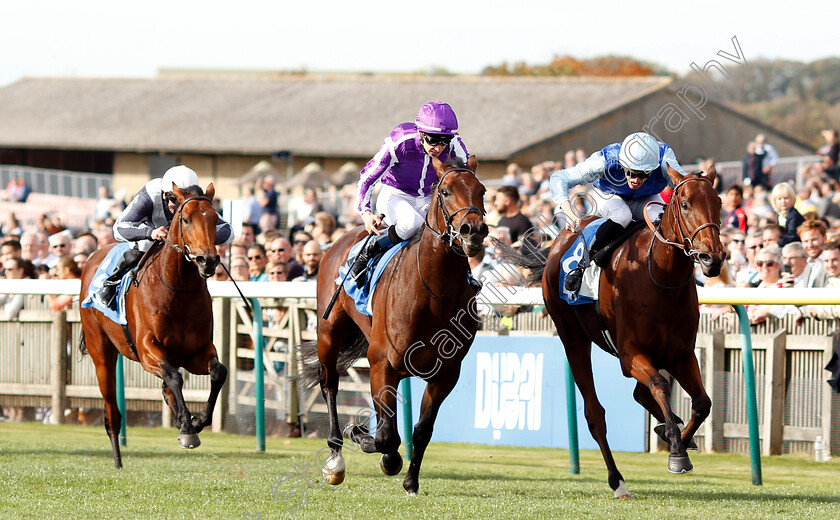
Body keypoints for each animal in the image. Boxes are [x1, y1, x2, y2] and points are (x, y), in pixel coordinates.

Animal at [79, 185, 226, 470]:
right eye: (186, 219)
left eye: (215, 219)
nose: (208, 260)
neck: (177, 289)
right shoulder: (148, 350)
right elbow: (175, 377)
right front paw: (188, 429)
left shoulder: (197, 352)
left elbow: (218, 372)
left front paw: (196, 421)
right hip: (101, 353)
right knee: (112, 413)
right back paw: (118, 461)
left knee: (168, 389)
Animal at [300, 155, 486, 496]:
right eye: (446, 192)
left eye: (482, 190)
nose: (474, 231)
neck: (435, 294)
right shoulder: (383, 363)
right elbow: (387, 435)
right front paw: (362, 436)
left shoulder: (445, 374)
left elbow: (421, 430)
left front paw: (410, 480)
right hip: (328, 333)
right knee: (329, 385)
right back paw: (335, 457)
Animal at [502, 167, 724, 500]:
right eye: (685, 204)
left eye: (719, 203)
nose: (713, 259)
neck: (660, 277)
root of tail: (559, 242)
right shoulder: (630, 354)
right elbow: (660, 385)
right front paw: (677, 451)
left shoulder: (681, 355)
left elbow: (702, 403)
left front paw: (678, 438)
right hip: (573, 337)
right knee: (595, 414)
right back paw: (618, 481)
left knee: (641, 394)